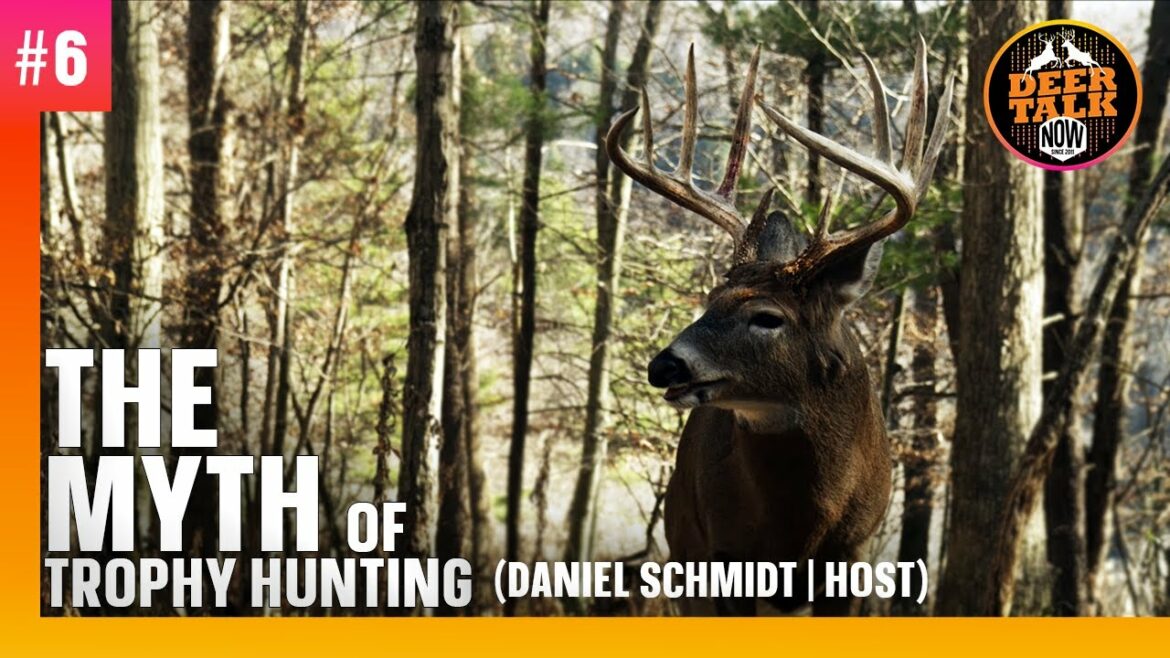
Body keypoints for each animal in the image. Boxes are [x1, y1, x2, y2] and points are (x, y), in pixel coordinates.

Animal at [605, 38, 952, 616]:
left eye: (768, 317)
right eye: (710, 299)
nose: (664, 366)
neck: (800, 527)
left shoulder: (855, 554)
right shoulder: (722, 555)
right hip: (683, 548)